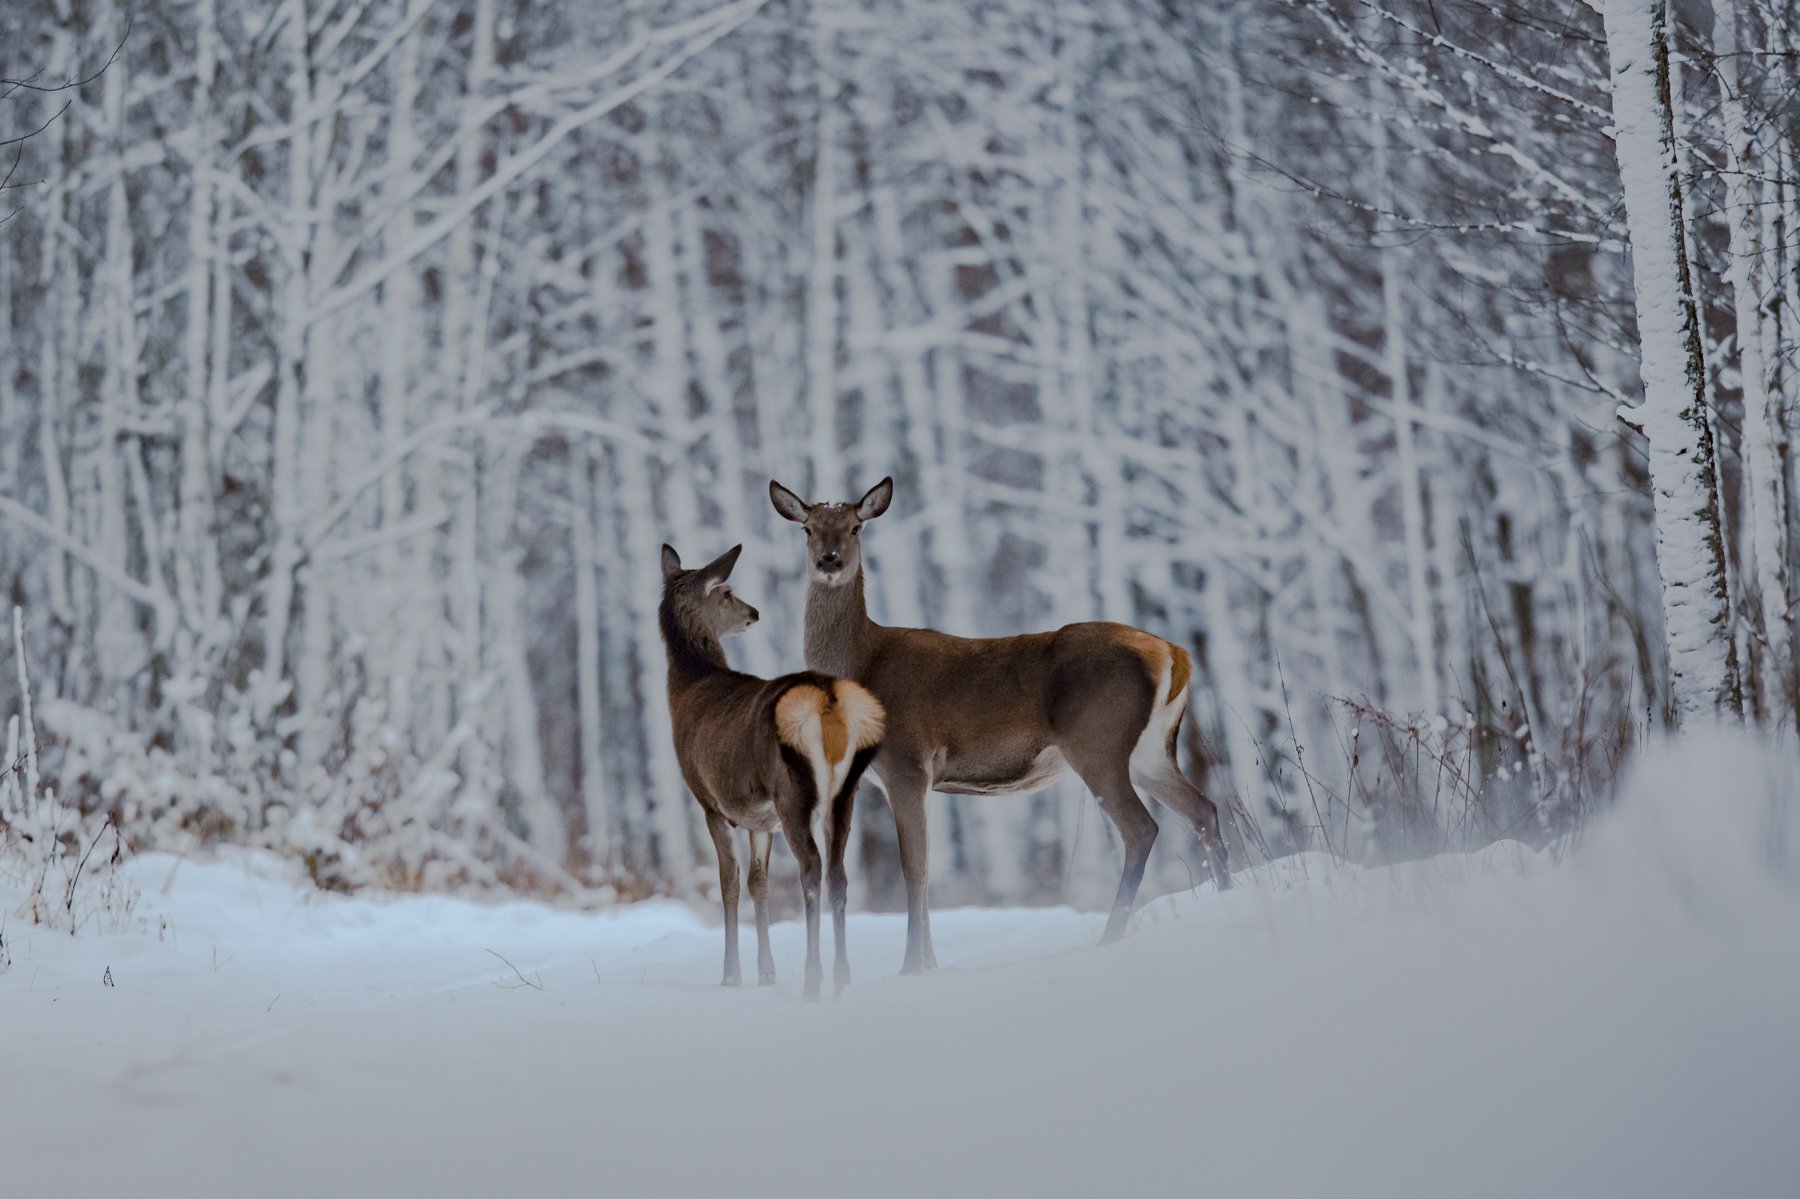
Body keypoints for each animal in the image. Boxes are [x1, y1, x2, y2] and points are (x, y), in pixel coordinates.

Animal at [662, 536, 885, 993]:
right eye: (727, 593)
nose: (753, 612)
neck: (686, 691)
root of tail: (826, 703)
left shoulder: (709, 799)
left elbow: (729, 883)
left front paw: (731, 974)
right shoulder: (757, 816)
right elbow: (757, 882)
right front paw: (765, 973)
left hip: (792, 790)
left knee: (812, 869)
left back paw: (813, 977)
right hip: (844, 793)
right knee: (838, 873)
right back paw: (842, 975)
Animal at [766, 475, 1231, 972]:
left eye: (856, 526)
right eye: (808, 528)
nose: (829, 560)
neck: (862, 665)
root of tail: (1173, 653)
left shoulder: (907, 762)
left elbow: (916, 869)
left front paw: (912, 967)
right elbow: (925, 869)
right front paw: (930, 964)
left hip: (1097, 741)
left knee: (1142, 828)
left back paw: (1111, 935)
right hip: (1151, 749)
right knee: (1203, 810)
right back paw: (1226, 893)